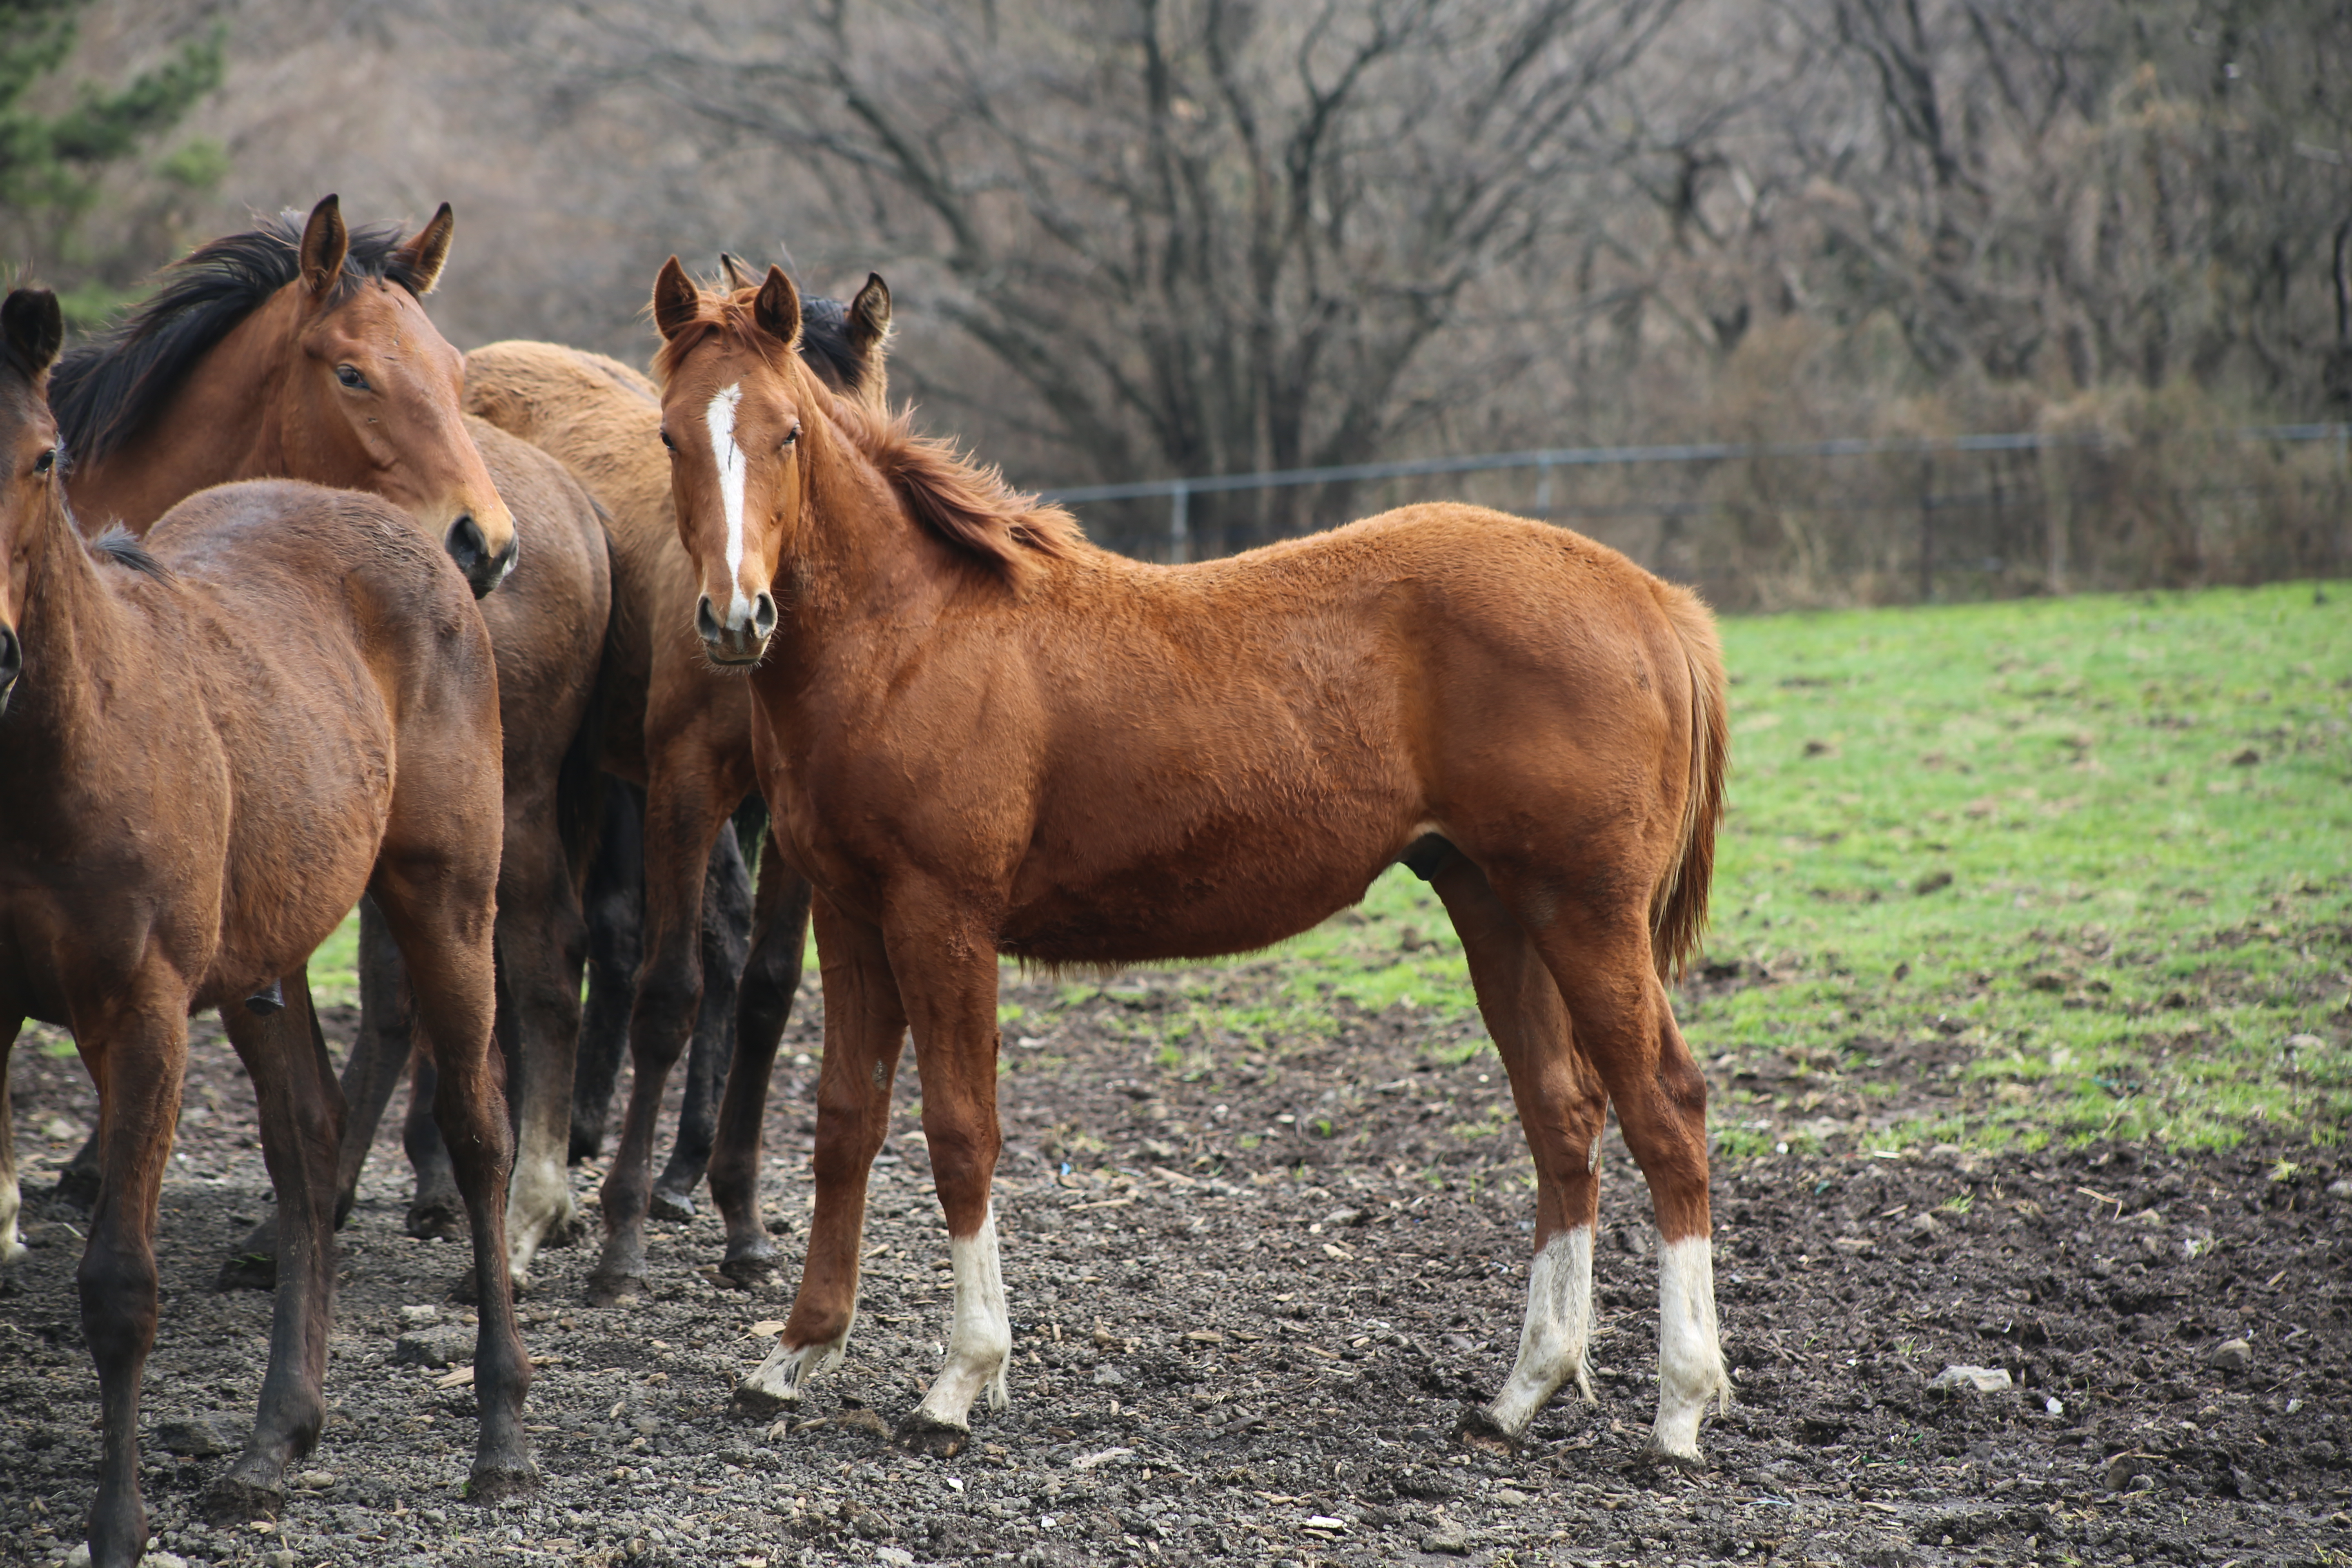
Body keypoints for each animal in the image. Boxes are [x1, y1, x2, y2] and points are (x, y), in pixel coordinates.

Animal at [0, 285, 534, 1568]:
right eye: (351, 372)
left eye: (44, 457)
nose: (486, 539)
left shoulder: (142, 1012)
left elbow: (120, 1285)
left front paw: (116, 1525)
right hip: (265, 960)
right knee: (306, 1144)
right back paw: (272, 1442)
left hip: (447, 900)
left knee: (478, 1129)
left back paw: (501, 1434)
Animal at [461, 276, 889, 1307]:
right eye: (670, 437)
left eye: (799, 433)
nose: (739, 617)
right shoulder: (683, 789)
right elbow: (669, 993)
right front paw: (623, 1232)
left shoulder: (794, 822)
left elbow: (768, 990)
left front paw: (741, 1217)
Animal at [654, 263, 1740, 1467]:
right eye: (669, 436)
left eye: (788, 432)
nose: (735, 617)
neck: (913, 632)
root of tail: (1655, 605)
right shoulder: (849, 916)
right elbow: (846, 1123)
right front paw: (794, 1353)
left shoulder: (944, 918)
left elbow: (959, 1131)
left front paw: (961, 1377)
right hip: (1497, 906)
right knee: (1561, 1115)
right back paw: (1523, 1389)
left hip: (1586, 914)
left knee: (1663, 1107)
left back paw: (1681, 1404)